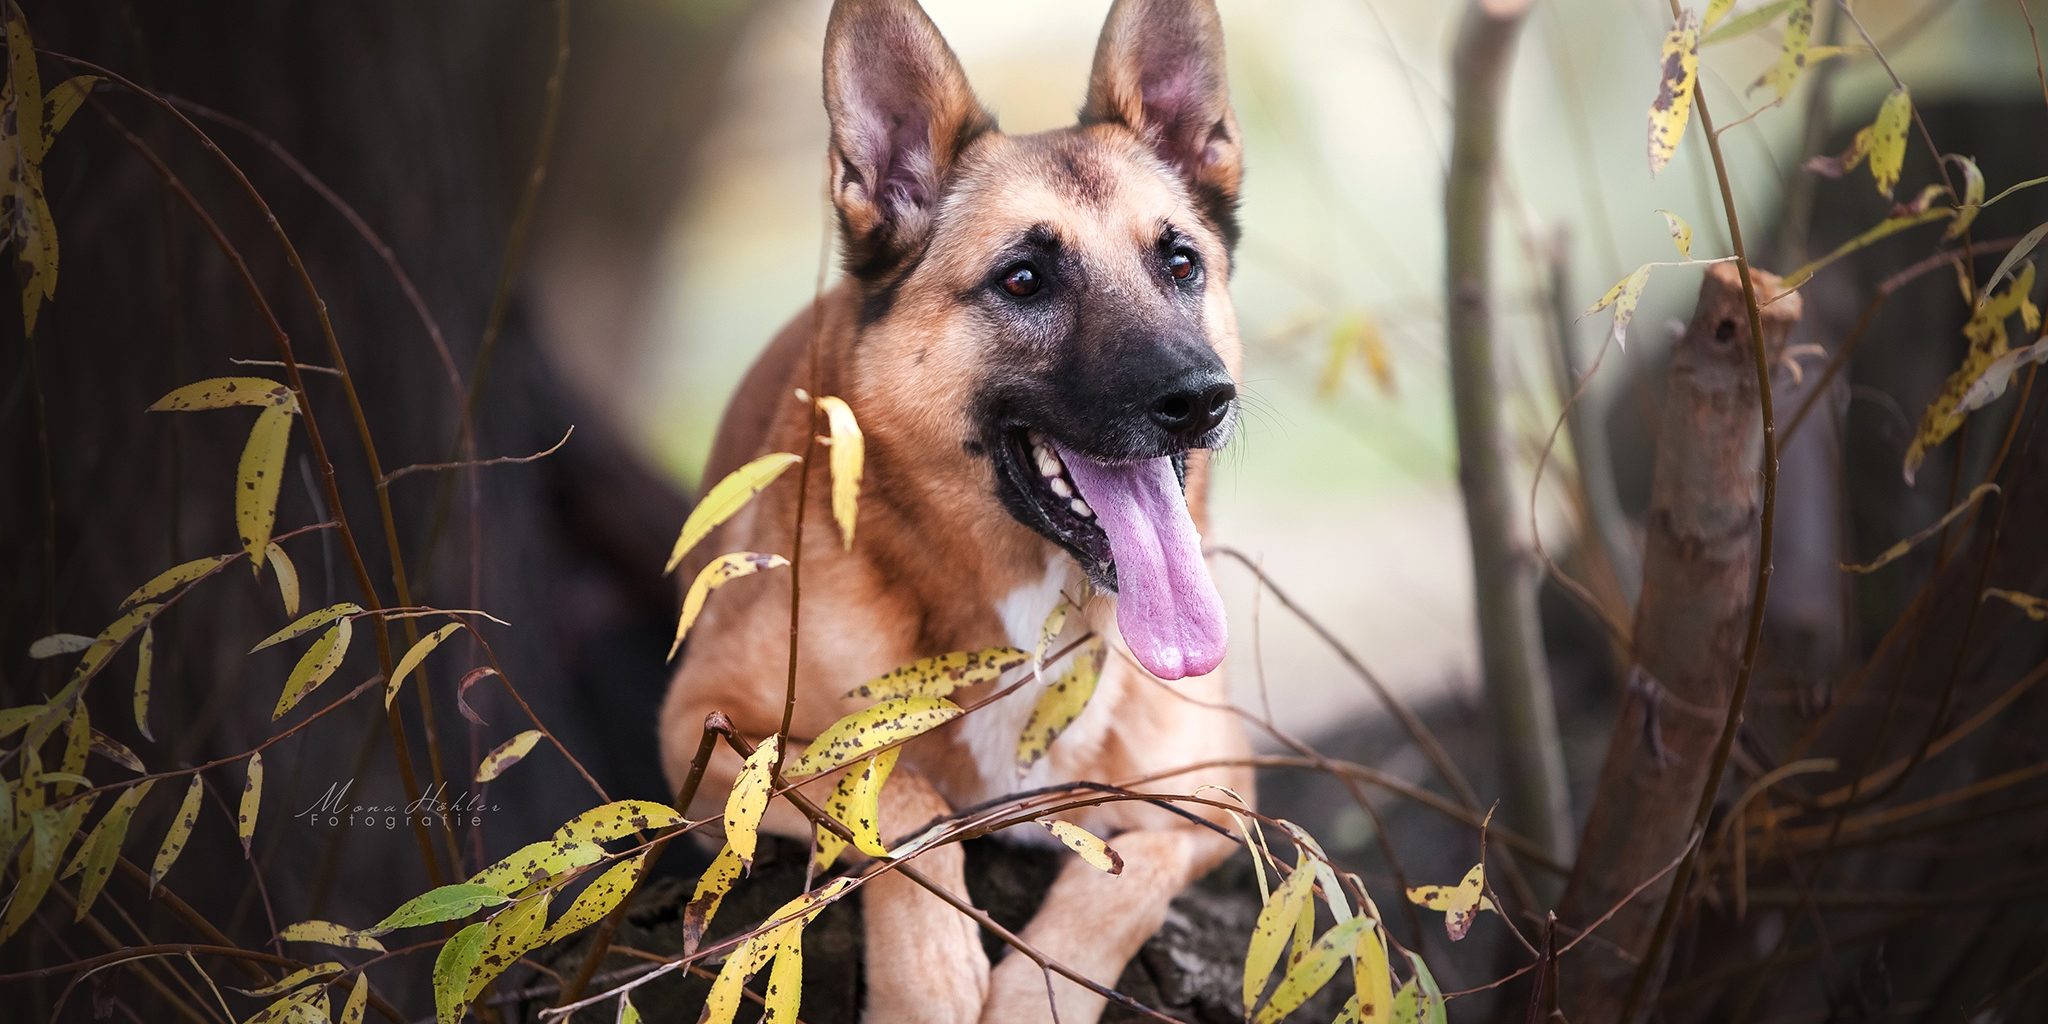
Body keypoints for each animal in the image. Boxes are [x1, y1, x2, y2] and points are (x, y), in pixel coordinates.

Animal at [663, 4, 1253, 1019]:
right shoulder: (702, 731)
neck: (1027, 601)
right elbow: (889, 794)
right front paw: (930, 985)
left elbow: (1129, 865)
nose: (1201, 399)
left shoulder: (1221, 795)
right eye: (1023, 280)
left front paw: (1033, 996)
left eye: (1181, 262)